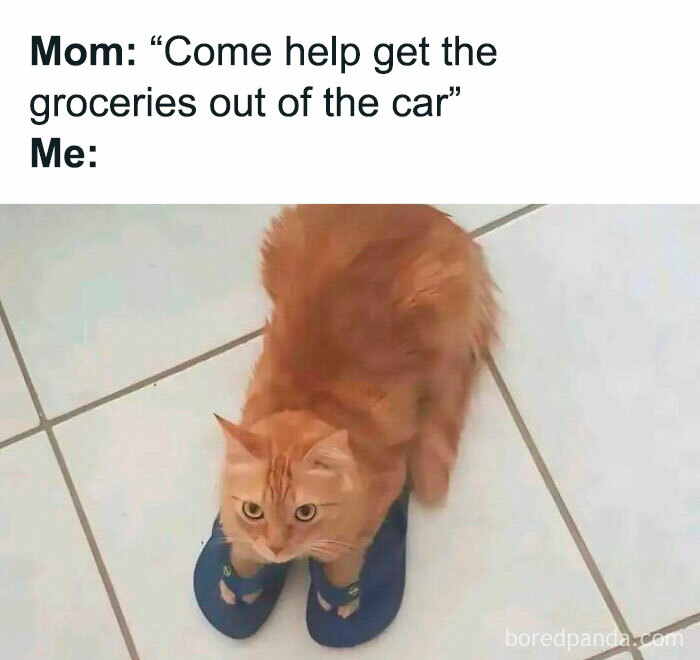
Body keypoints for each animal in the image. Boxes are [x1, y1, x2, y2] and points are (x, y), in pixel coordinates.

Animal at [216, 204, 494, 612]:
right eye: (254, 510)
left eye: (305, 512)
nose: (277, 547)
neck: (309, 404)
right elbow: (241, 547)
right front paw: (239, 583)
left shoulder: (383, 489)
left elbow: (346, 556)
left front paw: (339, 599)